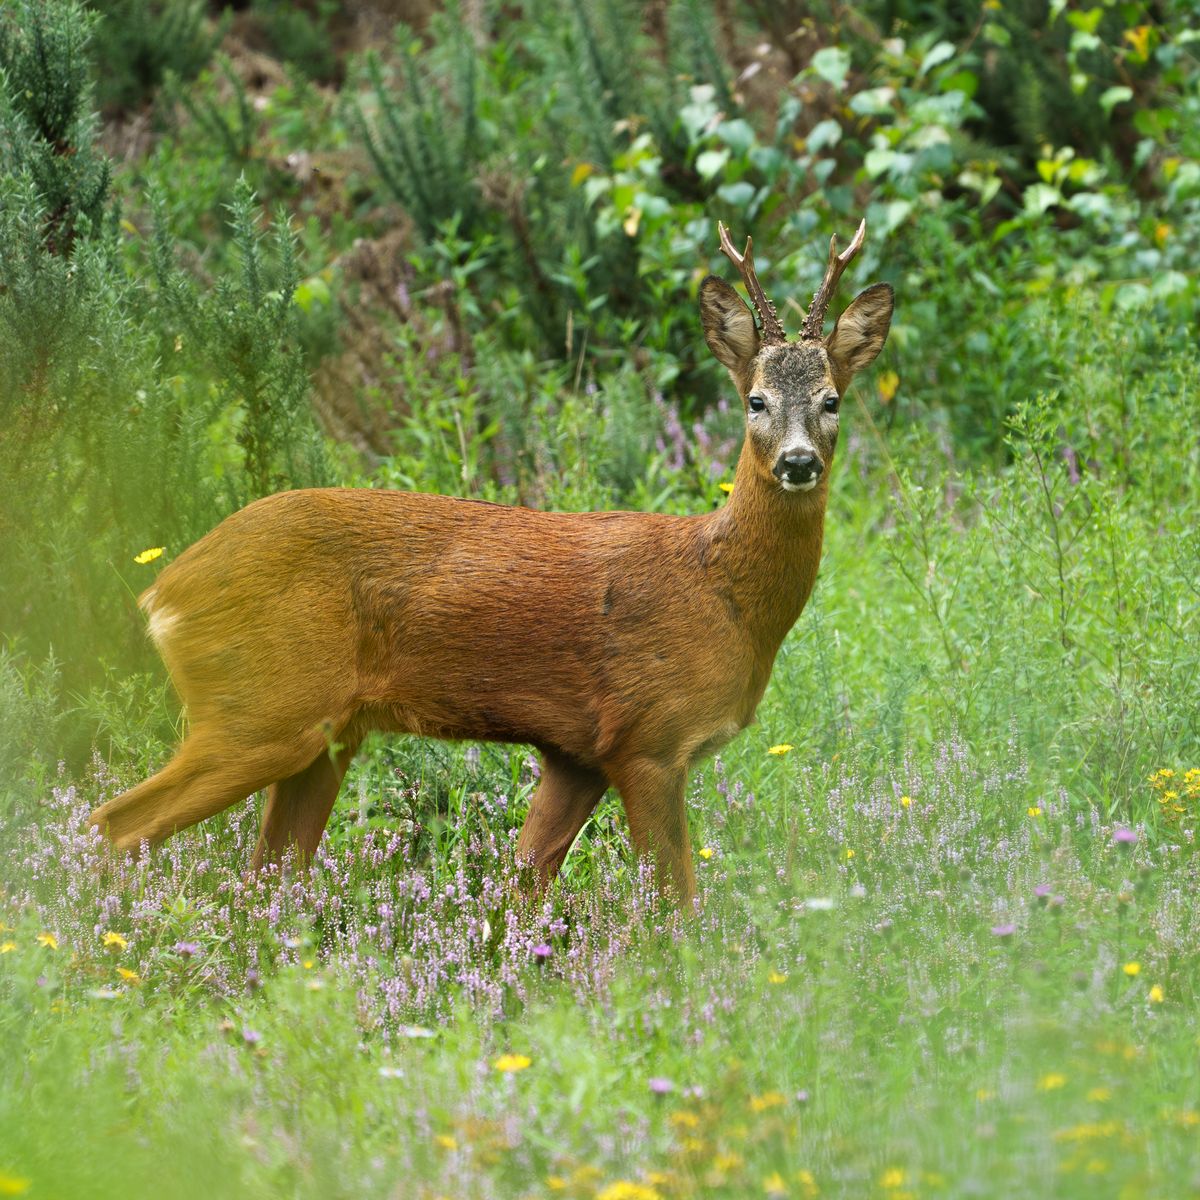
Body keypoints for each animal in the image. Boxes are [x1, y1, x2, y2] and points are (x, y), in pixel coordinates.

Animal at [88, 220, 892, 902]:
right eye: (755, 400)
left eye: (831, 401)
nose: (797, 463)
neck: (721, 590)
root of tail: (162, 592)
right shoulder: (648, 738)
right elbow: (676, 908)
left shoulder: (577, 753)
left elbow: (522, 887)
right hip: (258, 709)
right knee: (114, 826)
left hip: (323, 736)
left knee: (267, 872)